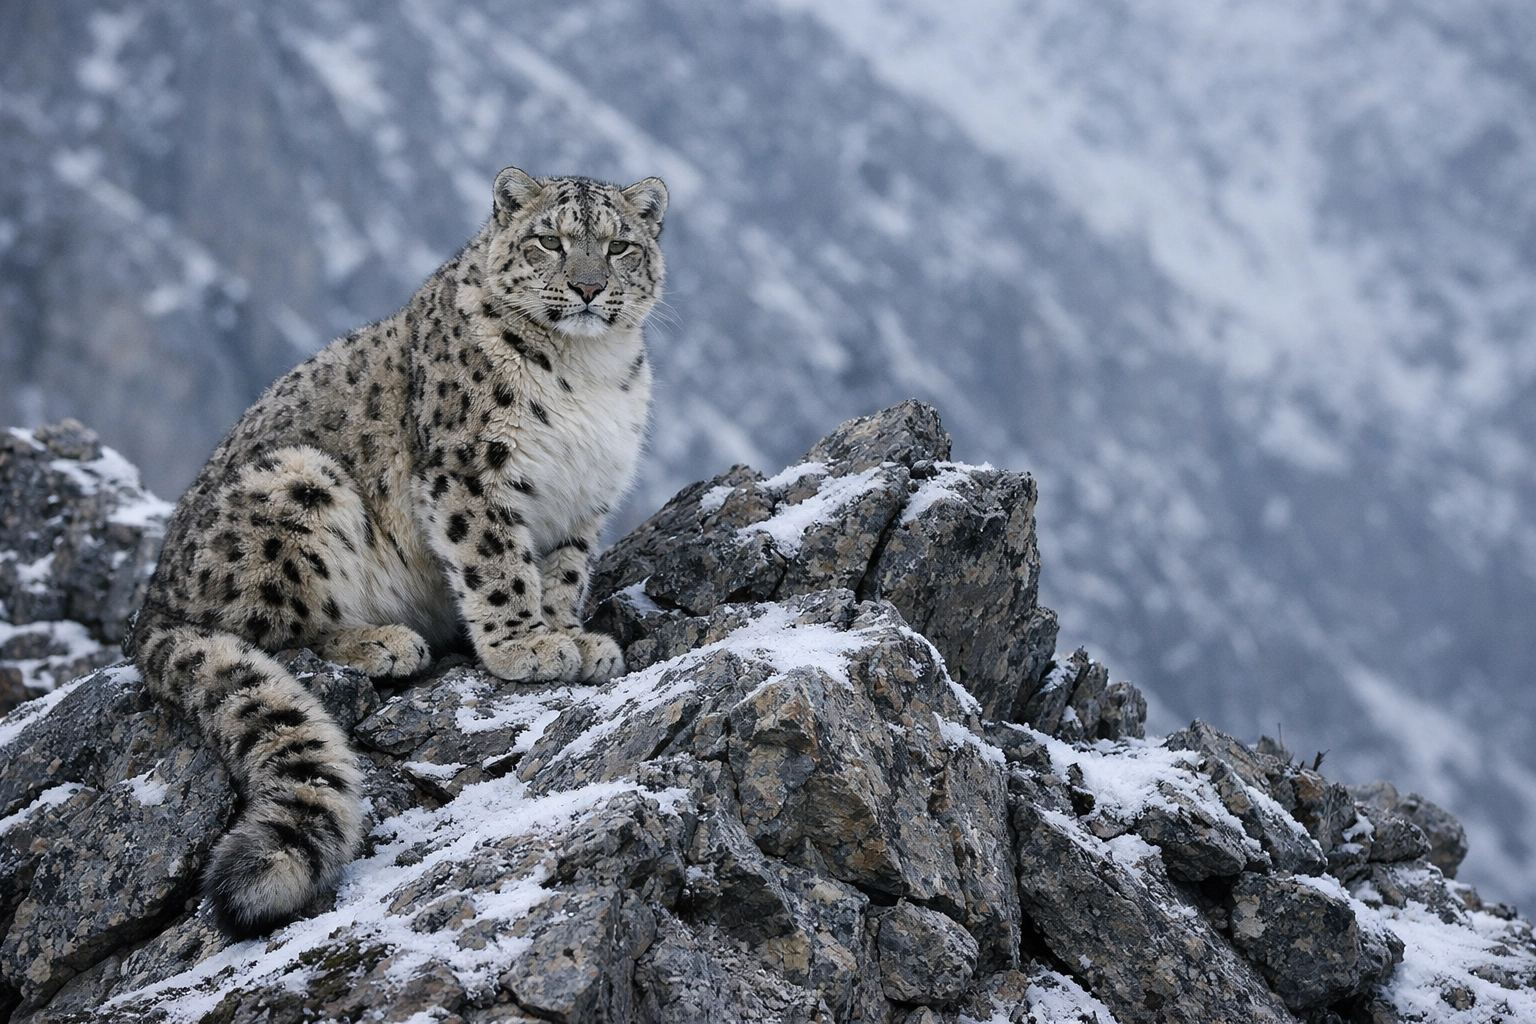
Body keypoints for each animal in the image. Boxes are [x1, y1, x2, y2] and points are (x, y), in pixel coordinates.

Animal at [126, 167, 667, 937]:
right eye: (549, 241)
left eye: (620, 246)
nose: (589, 286)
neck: (588, 373)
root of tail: (150, 606)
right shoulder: (470, 470)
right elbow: (498, 565)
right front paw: (526, 646)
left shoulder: (581, 499)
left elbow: (562, 572)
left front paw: (570, 635)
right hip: (299, 487)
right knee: (275, 632)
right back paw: (384, 642)